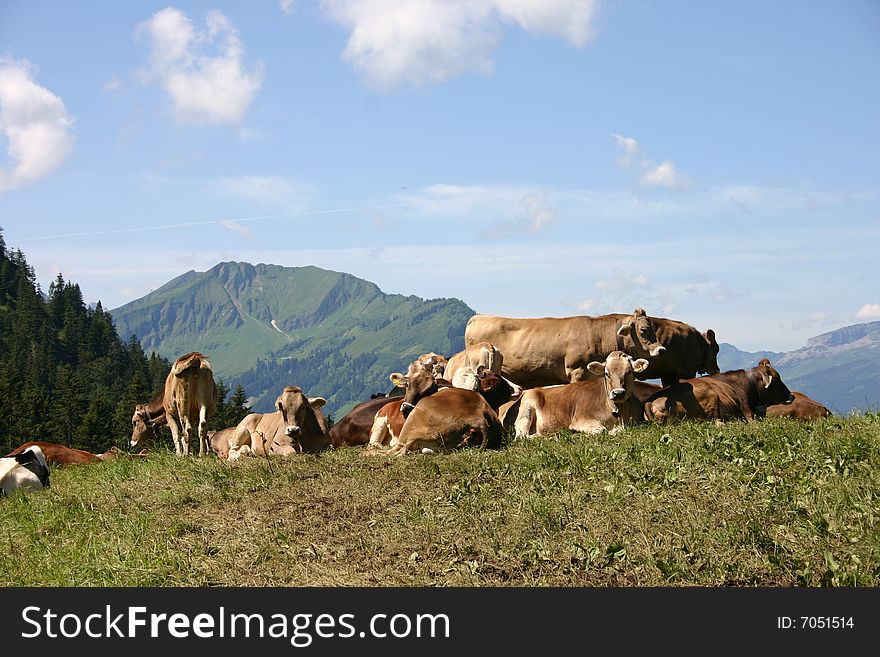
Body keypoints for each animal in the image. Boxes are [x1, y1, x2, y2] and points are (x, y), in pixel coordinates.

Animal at [512, 352, 648, 438]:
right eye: (607, 373)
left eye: (629, 372)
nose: (618, 393)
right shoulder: (581, 419)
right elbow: (602, 431)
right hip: (526, 410)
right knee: (522, 436)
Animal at [640, 356, 796, 422]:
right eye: (776, 378)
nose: (791, 396)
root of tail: (650, 401)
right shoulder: (746, 409)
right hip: (711, 396)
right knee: (717, 422)